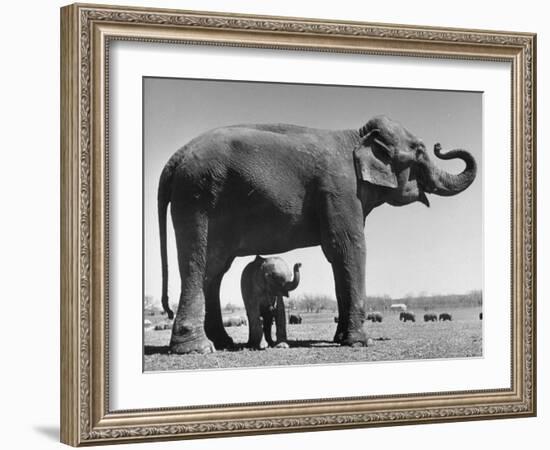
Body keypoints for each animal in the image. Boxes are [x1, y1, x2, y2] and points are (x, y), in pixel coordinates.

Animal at [160, 114, 478, 354]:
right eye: (419, 151)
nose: (439, 145)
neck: (357, 136)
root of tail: (175, 158)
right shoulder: (340, 190)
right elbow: (349, 248)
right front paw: (360, 342)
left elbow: (338, 256)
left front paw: (341, 339)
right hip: (197, 198)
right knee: (197, 263)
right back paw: (198, 349)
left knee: (215, 270)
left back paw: (223, 342)